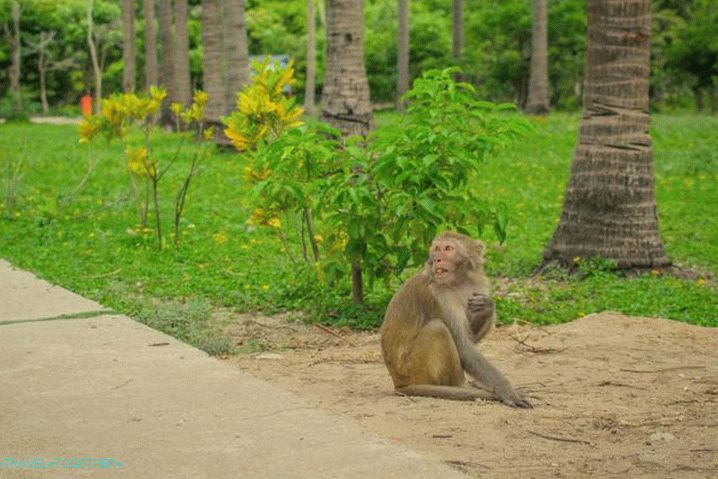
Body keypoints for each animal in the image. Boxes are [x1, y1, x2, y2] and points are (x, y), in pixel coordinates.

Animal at [380, 232, 532, 408]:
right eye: (437, 248)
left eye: (447, 248)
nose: (436, 259)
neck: (459, 281)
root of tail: (399, 383)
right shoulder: (440, 295)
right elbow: (464, 348)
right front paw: (507, 391)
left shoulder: (477, 286)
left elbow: (472, 338)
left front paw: (487, 307)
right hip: (413, 369)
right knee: (437, 328)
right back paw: (461, 387)